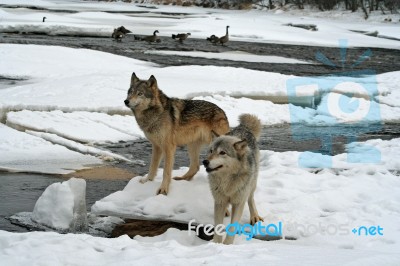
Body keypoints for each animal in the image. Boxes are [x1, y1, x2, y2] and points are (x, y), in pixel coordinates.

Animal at [203, 113, 266, 244]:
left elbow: (232, 227)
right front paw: (216, 244)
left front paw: (227, 245)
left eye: (222, 152)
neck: (227, 182)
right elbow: (218, 226)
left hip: (252, 183)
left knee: (250, 198)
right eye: (211, 151)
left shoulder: (238, 203)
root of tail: (243, 127)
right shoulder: (220, 201)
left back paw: (254, 216)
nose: (205, 162)